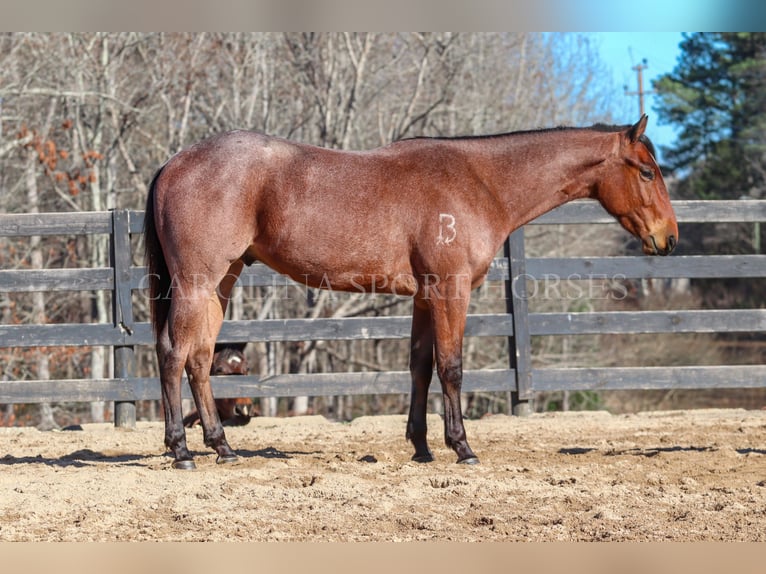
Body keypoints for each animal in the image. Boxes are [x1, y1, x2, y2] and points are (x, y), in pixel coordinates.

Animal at [142, 113, 680, 472]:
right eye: (647, 171)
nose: (670, 238)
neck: (479, 181)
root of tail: (174, 161)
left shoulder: (424, 297)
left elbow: (420, 366)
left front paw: (421, 447)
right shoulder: (450, 291)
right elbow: (451, 367)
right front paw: (462, 447)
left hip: (222, 282)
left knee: (200, 358)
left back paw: (222, 447)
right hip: (196, 282)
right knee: (173, 353)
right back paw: (182, 450)